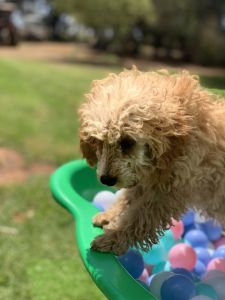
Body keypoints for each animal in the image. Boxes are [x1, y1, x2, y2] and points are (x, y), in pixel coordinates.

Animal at [78, 67, 224, 254]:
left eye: (127, 142)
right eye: (97, 141)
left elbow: (140, 217)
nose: (106, 180)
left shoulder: (167, 194)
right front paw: (109, 215)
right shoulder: (147, 177)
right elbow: (129, 197)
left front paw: (112, 238)